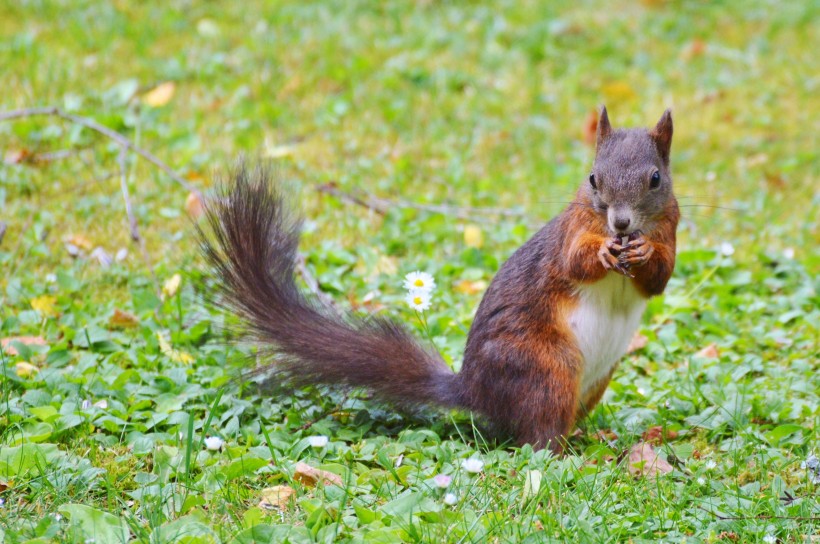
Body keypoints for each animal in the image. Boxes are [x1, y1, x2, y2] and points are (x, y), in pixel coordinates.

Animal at [200, 105, 680, 450]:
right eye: (593, 179)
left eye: (656, 178)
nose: (620, 223)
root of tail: (474, 391)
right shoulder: (571, 231)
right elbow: (573, 260)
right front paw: (600, 251)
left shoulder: (670, 230)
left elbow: (658, 277)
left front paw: (644, 252)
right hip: (547, 368)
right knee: (536, 437)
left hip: (593, 381)